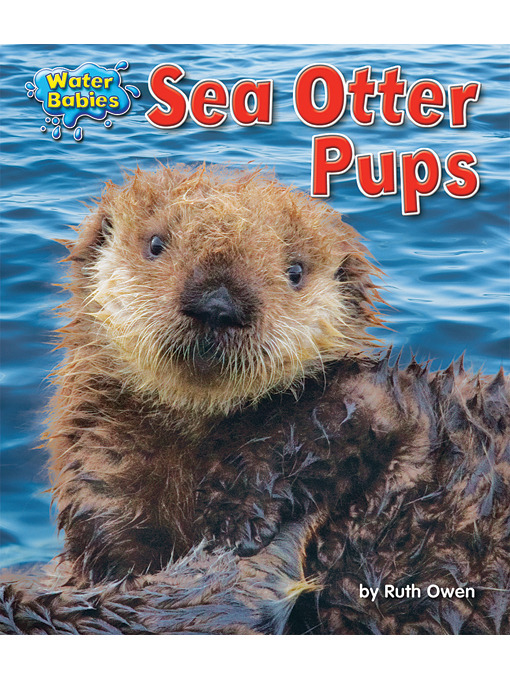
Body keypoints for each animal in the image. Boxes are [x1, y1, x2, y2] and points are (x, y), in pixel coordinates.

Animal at [45, 164, 510, 634]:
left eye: (295, 272)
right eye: (156, 245)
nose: (218, 304)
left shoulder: (379, 400)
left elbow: (316, 427)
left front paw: (238, 520)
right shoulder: (103, 469)